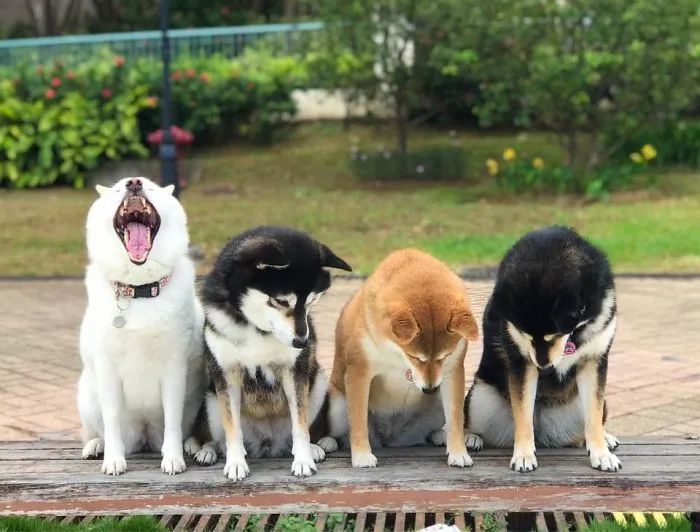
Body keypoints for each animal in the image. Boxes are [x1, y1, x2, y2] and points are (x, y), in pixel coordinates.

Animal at [79, 177, 206, 476]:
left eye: (151, 188)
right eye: (117, 189)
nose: (134, 182)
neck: (137, 291)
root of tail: (145, 435)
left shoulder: (174, 369)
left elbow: (173, 419)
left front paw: (173, 458)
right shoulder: (107, 369)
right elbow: (111, 419)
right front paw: (113, 459)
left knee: (186, 429)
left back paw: (191, 445)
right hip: (87, 396)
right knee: (99, 429)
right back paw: (96, 445)